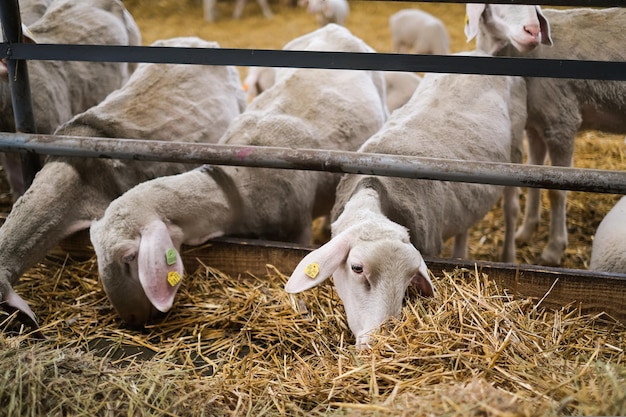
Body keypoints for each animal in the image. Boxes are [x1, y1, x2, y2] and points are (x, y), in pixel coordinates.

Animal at [286, 55, 524, 348]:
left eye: (410, 277)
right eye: (356, 268)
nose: (381, 342)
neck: (373, 190)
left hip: (516, 154)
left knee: (511, 210)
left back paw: (509, 254)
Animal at [464, 4, 624, 264]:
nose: (533, 31)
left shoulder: (561, 122)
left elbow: (557, 190)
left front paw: (553, 250)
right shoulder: (535, 125)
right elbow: (535, 175)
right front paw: (526, 231)